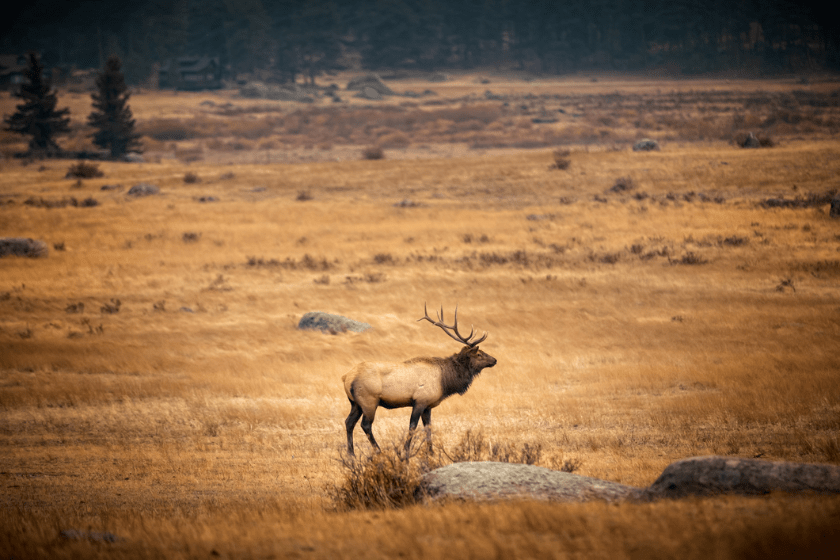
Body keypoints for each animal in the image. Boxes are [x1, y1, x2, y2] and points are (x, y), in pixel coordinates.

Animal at [342, 304, 497, 456]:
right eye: (479, 354)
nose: (494, 360)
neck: (445, 381)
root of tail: (346, 377)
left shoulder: (428, 406)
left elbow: (428, 427)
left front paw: (431, 452)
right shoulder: (420, 401)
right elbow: (412, 426)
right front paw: (405, 452)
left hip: (355, 403)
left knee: (349, 422)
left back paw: (351, 454)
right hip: (369, 400)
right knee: (365, 425)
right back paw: (378, 451)